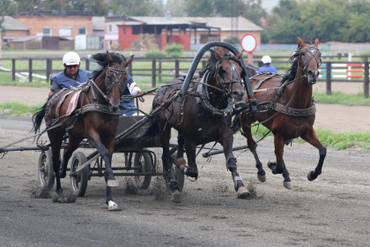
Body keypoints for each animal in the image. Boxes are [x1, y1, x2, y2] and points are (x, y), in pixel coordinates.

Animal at [31, 52, 133, 210]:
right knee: (55, 161)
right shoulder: (92, 134)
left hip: (75, 136)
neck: (100, 103)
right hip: (55, 134)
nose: (115, 105)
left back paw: (63, 171)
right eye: (109, 76)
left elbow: (108, 161)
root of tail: (53, 98)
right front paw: (111, 179)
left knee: (67, 153)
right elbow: (103, 152)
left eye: (125, 78)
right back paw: (60, 192)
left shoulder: (111, 137)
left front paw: (110, 199)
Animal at [140, 47, 250, 202]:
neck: (209, 105)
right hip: (163, 127)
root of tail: (163, 89)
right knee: (166, 156)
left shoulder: (226, 135)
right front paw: (180, 166)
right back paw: (173, 185)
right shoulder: (191, 139)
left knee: (178, 142)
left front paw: (241, 187)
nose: (238, 92)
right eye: (222, 69)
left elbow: (231, 162)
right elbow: (192, 170)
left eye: (241, 70)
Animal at [236, 36, 326, 189]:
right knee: (252, 144)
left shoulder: (306, 131)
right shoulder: (278, 134)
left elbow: (322, 150)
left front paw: (313, 174)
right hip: (245, 120)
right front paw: (272, 166)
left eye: (319, 55)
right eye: (303, 54)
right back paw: (261, 170)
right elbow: (277, 164)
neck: (297, 102)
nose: (313, 74)